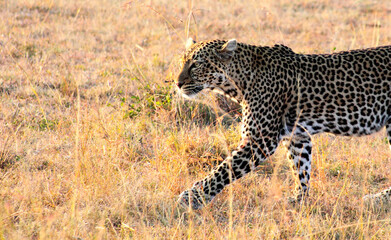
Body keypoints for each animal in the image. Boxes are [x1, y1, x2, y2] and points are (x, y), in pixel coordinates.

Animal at [175, 38, 391, 209]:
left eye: (196, 65)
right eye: (182, 62)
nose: (177, 83)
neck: (239, 81)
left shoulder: (260, 140)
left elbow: (222, 171)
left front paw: (191, 198)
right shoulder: (297, 136)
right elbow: (300, 168)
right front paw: (299, 200)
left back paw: (380, 198)